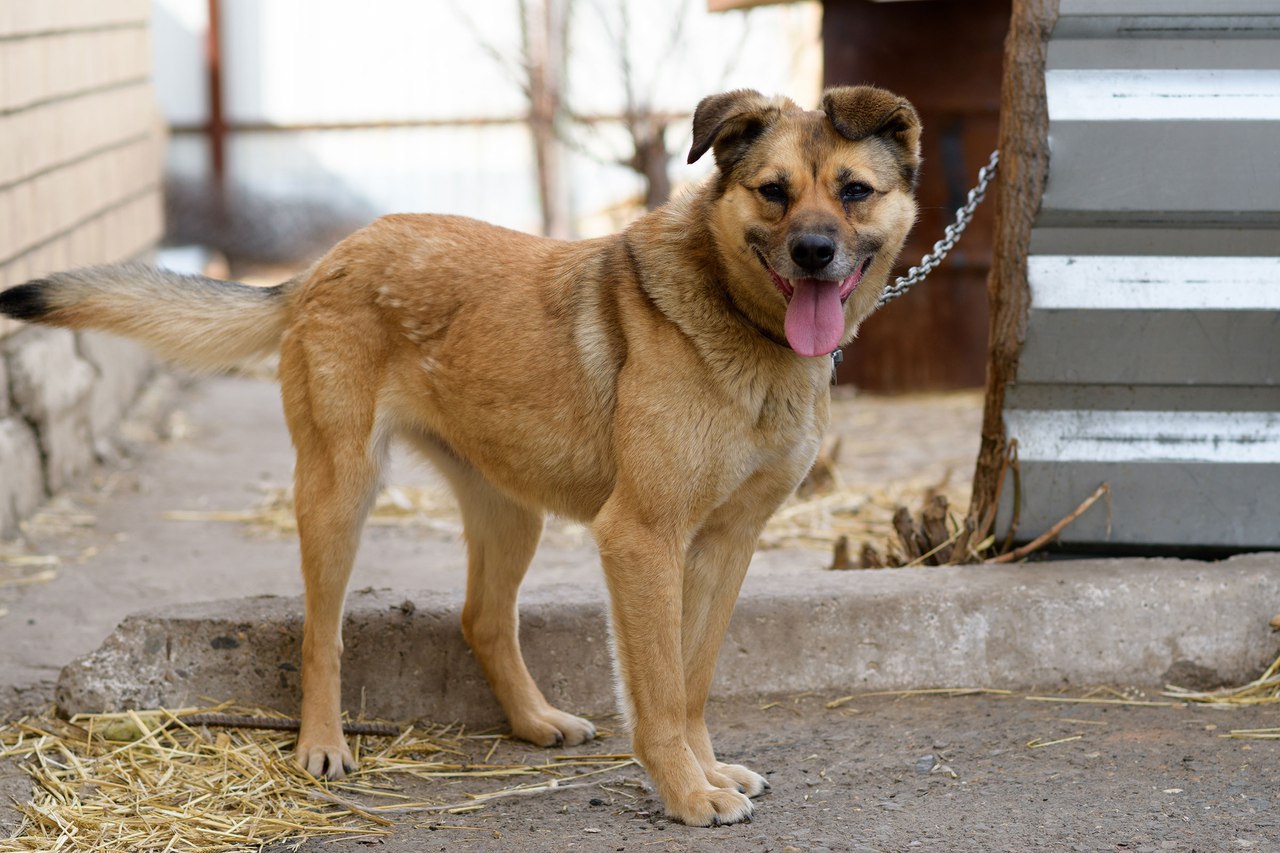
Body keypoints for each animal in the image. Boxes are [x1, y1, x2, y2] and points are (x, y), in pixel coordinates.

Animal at [0, 86, 921, 824]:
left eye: (855, 192)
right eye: (773, 192)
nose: (814, 253)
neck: (742, 327)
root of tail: (328, 260)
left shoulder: (724, 546)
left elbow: (692, 680)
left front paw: (707, 770)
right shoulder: (642, 540)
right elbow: (658, 691)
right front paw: (689, 794)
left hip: (511, 511)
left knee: (481, 617)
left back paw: (536, 720)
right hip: (339, 492)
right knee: (321, 632)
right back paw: (322, 744)